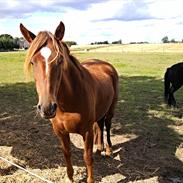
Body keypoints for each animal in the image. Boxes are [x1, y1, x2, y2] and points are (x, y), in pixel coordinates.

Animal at [19, 21, 117, 183]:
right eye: (32, 62)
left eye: (60, 60)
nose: (47, 108)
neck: (69, 102)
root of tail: (105, 65)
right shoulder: (61, 133)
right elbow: (67, 154)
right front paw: (70, 177)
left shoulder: (87, 132)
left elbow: (87, 157)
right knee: (99, 124)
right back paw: (99, 149)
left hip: (110, 110)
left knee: (107, 127)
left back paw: (108, 149)